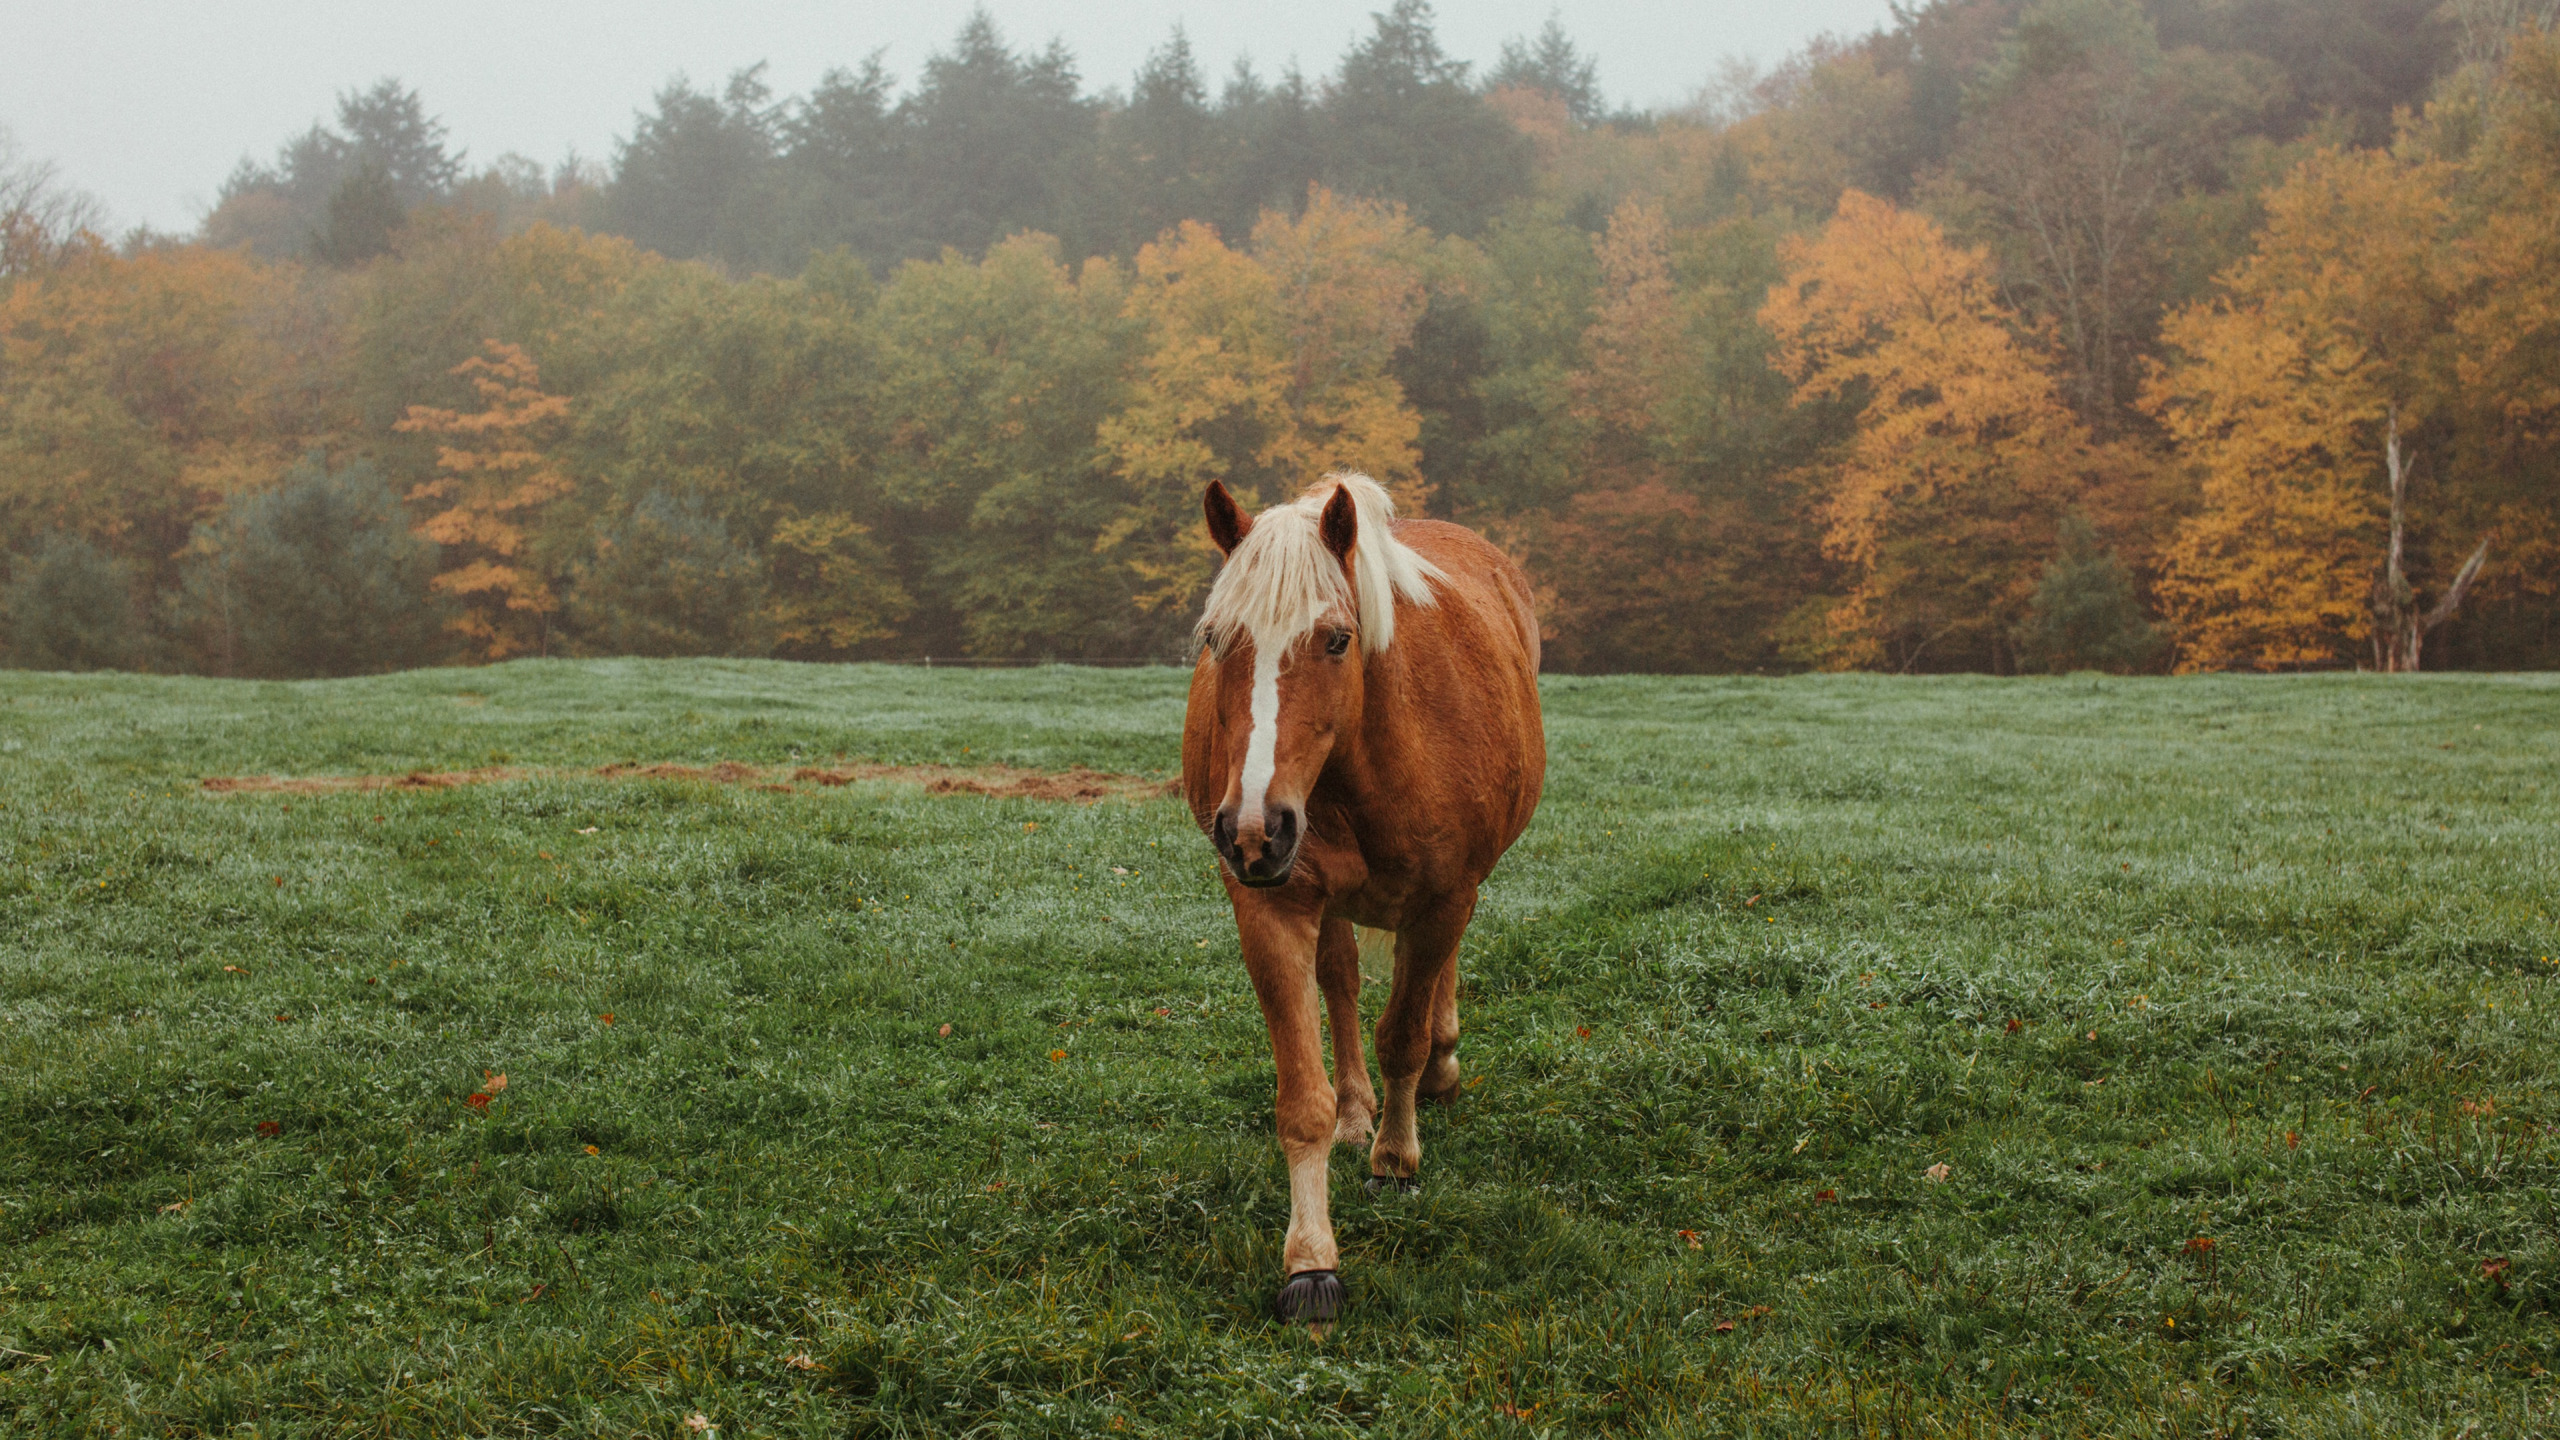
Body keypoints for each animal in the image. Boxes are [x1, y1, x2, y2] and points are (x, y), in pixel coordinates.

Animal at [1177, 474, 1536, 1322]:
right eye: (1216, 639)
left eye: (1337, 639)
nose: (1252, 829)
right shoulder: (1270, 906)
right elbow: (1300, 1098)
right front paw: (1311, 1259)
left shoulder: (1444, 897)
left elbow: (1402, 1033)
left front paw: (1395, 1162)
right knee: (1339, 983)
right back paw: (1354, 1111)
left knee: (1431, 985)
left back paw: (1438, 1069)